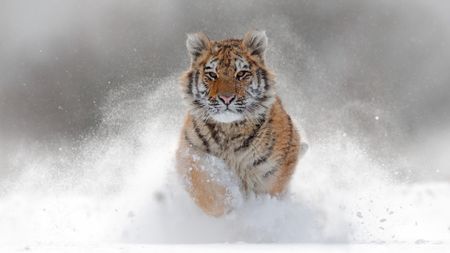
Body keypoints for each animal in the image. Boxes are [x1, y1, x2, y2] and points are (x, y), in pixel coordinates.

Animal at [176, 29, 306, 215]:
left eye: (241, 74)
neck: (229, 129)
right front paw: (229, 205)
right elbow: (205, 187)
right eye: (212, 75)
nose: (226, 98)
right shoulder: (190, 153)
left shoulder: (275, 168)